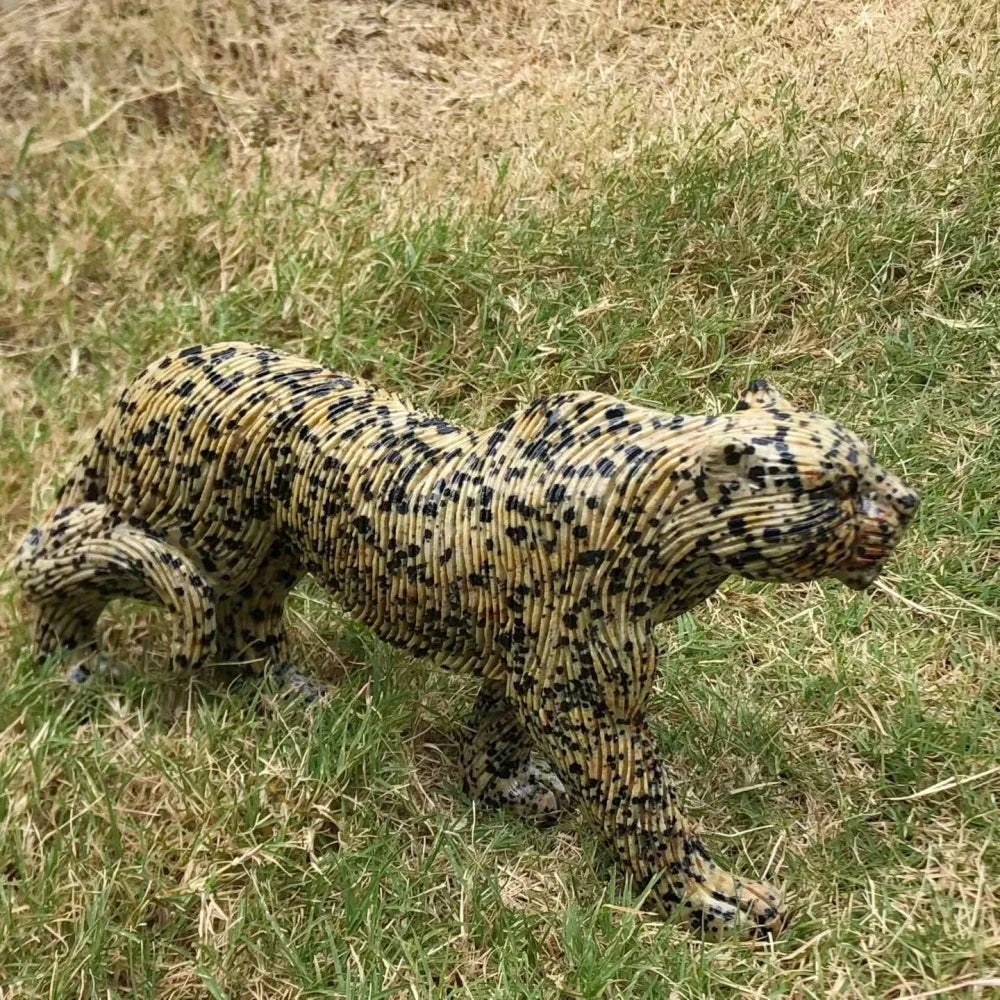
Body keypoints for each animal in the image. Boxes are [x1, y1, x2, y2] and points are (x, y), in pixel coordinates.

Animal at [11, 341, 919, 939]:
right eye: (835, 487)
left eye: (867, 464)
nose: (907, 502)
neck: (653, 518)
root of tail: (157, 370)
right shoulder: (583, 692)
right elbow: (646, 806)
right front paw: (711, 899)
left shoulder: (533, 668)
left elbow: (497, 733)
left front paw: (508, 789)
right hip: (196, 536)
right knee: (62, 551)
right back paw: (71, 665)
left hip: (269, 551)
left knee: (239, 622)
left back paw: (285, 695)